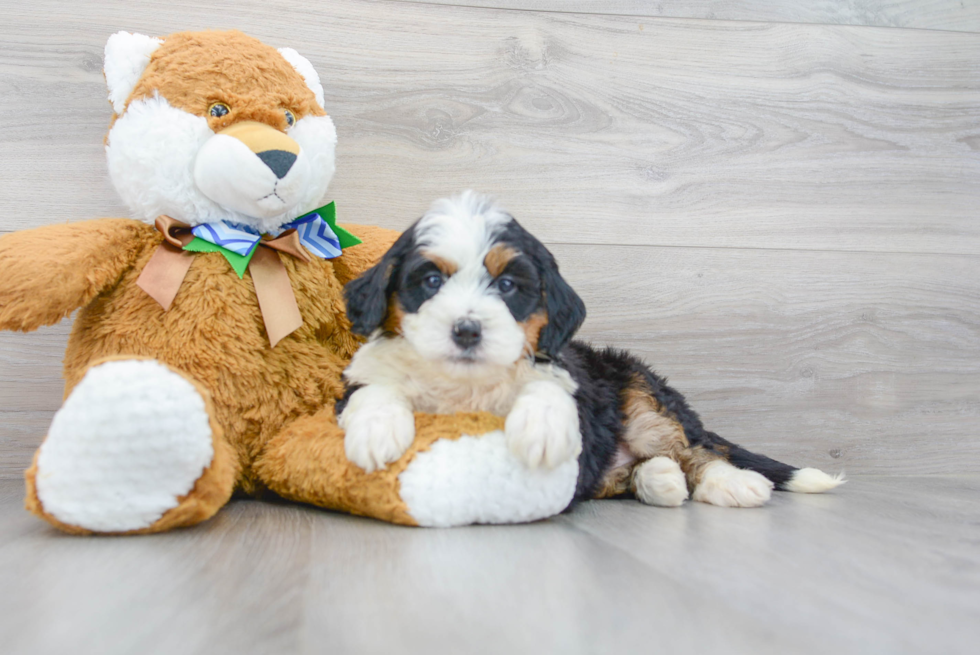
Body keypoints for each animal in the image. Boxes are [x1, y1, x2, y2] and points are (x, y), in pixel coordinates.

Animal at [336, 192, 844, 510]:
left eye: (507, 285)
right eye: (430, 281)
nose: (466, 331)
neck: (465, 385)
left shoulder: (563, 374)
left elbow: (547, 389)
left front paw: (541, 432)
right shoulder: (360, 381)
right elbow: (374, 388)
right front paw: (376, 432)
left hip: (641, 396)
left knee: (695, 451)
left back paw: (730, 481)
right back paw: (659, 481)